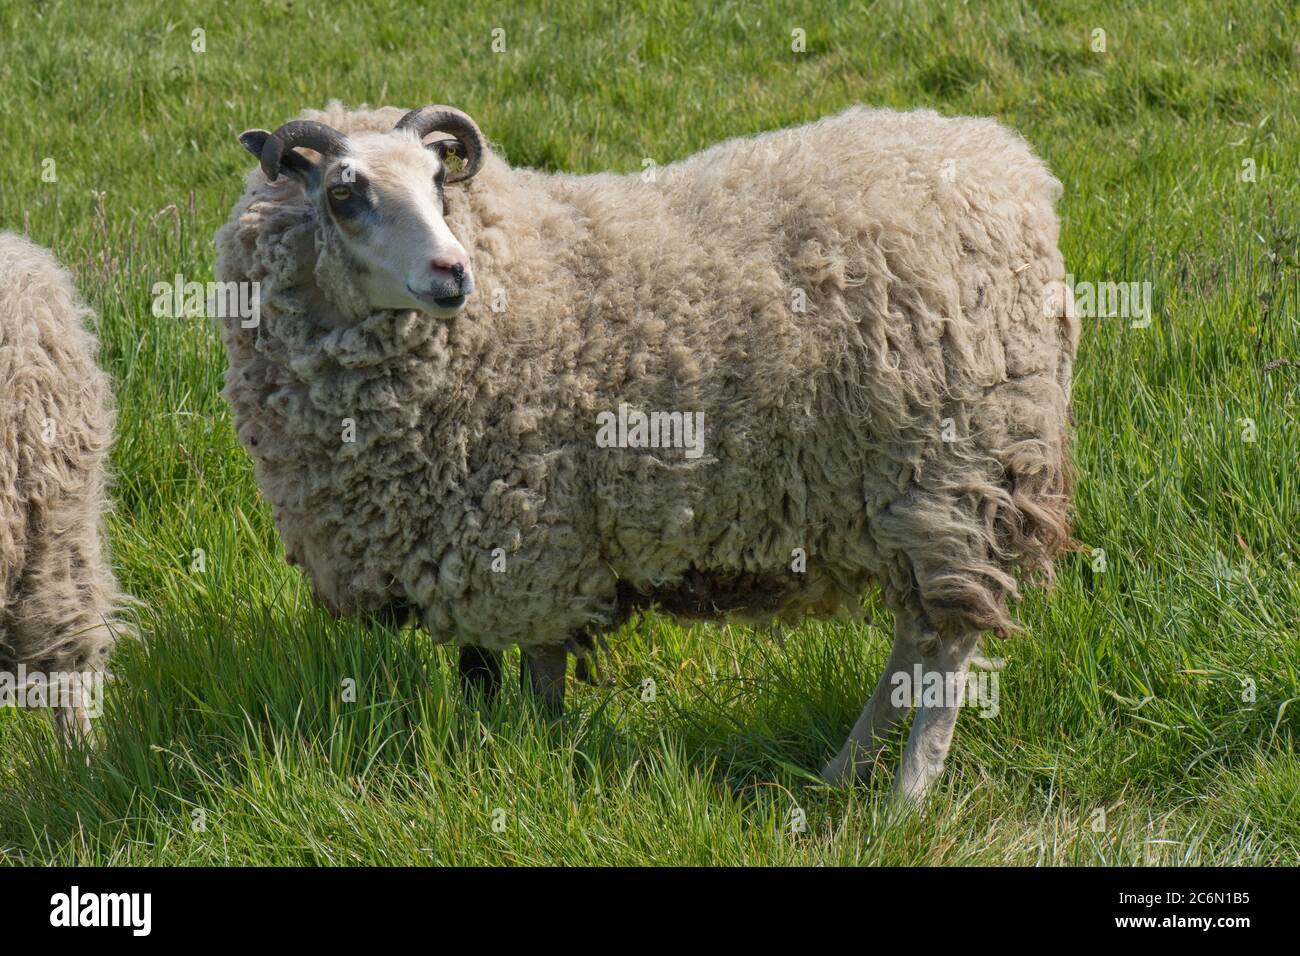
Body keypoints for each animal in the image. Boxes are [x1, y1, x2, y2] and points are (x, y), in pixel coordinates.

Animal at [215, 101, 1078, 803]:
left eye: (438, 182)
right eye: (343, 195)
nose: (452, 273)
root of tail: (1014, 173)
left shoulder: (526, 543)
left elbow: (535, 671)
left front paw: (537, 753)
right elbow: (482, 675)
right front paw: (500, 746)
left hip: (952, 475)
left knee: (946, 647)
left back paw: (905, 798)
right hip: (900, 496)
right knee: (914, 640)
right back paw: (843, 771)